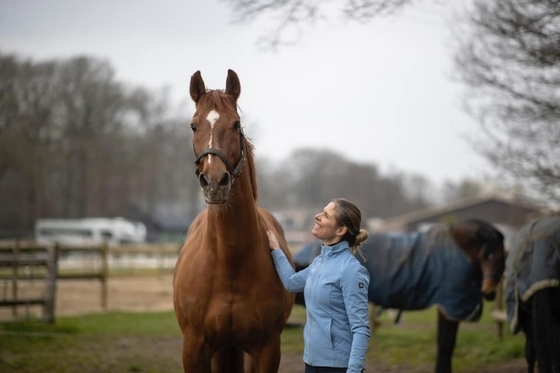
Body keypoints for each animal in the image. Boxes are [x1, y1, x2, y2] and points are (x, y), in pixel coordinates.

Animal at [173, 70, 296, 372]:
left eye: (236, 124)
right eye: (193, 126)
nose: (215, 182)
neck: (229, 264)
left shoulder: (266, 350)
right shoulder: (193, 350)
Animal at [290, 218, 506, 372]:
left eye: (503, 256)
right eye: (486, 255)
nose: (489, 292)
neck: (459, 251)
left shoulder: (448, 308)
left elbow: (445, 345)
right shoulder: (448, 307)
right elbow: (446, 344)